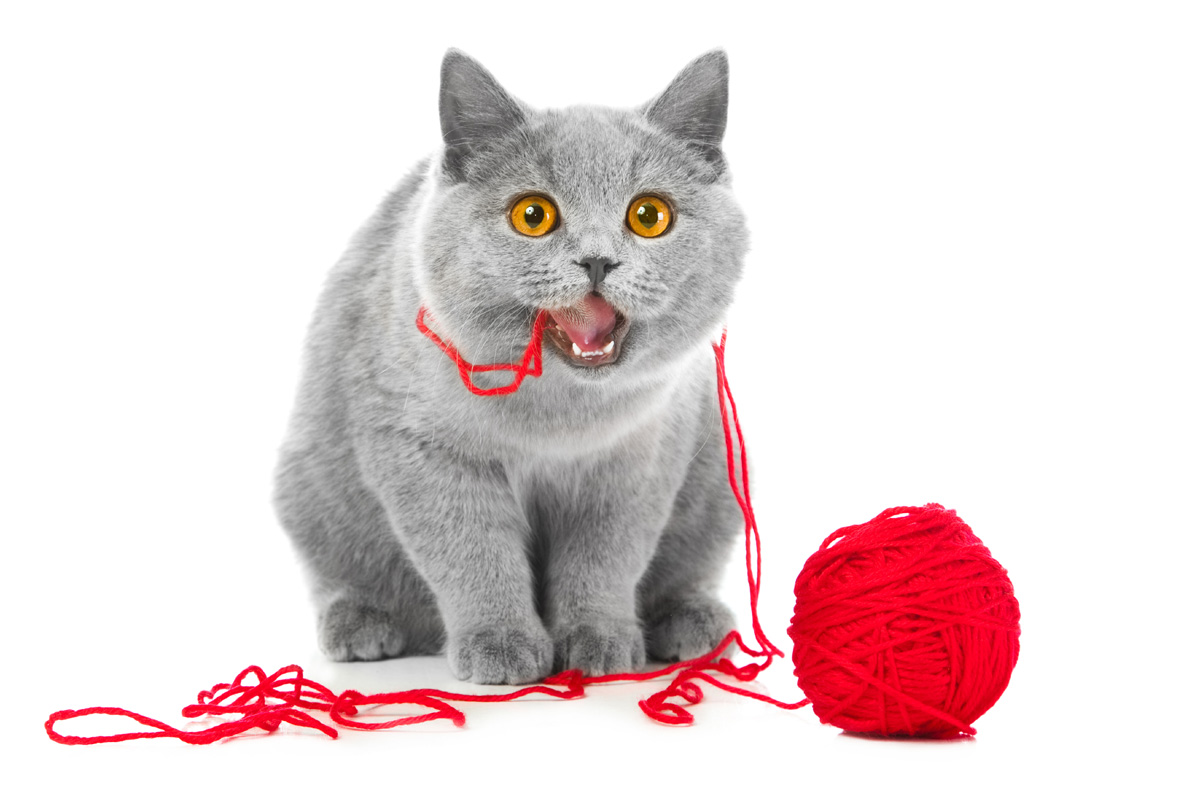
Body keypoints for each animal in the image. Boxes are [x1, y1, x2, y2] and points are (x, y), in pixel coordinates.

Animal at [272, 50, 748, 686]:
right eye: (533, 215)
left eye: (650, 215)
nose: (598, 260)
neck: (559, 414)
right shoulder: (425, 451)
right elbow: (474, 552)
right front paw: (500, 644)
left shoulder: (637, 459)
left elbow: (608, 556)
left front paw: (599, 640)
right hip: (310, 485)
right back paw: (362, 624)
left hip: (718, 473)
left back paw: (693, 623)